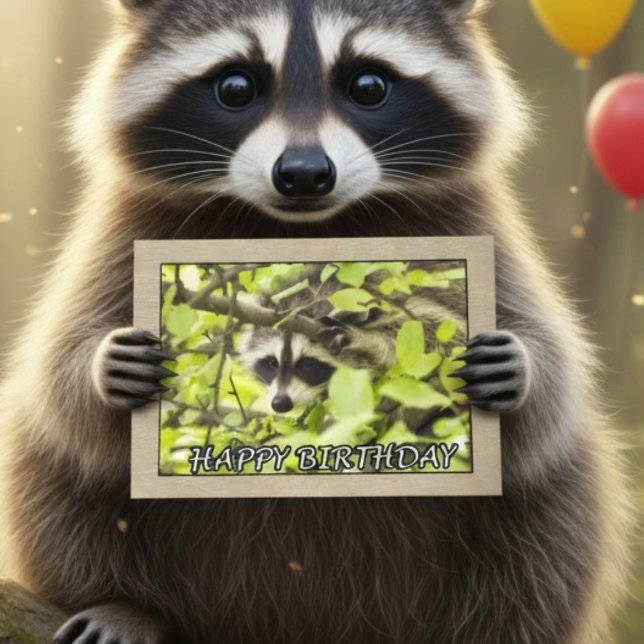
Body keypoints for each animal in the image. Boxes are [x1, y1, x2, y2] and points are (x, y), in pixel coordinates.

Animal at [1, 1, 631, 643]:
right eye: (235, 87)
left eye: (369, 86)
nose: (303, 173)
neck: (304, 226)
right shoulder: (124, 227)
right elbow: (57, 368)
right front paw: (105, 363)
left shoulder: (475, 223)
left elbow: (553, 371)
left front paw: (517, 365)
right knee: (49, 467)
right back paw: (127, 603)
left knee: (556, 501)